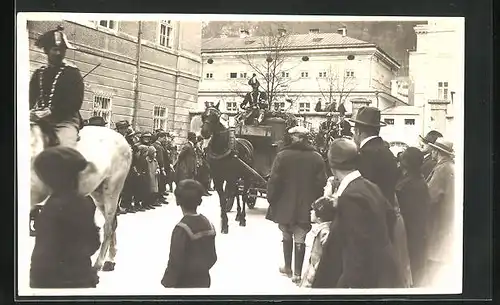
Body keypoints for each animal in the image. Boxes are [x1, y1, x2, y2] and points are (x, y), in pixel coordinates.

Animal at [30, 122, 132, 270]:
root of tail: (125, 142)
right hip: (98, 192)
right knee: (113, 223)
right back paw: (110, 260)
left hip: (112, 189)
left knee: (108, 226)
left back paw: (99, 263)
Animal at [199, 102, 264, 233]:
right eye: (203, 116)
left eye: (216, 116)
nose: (205, 132)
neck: (221, 148)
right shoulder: (217, 178)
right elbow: (223, 199)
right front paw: (224, 222)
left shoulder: (230, 176)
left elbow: (232, 195)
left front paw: (226, 222)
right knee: (237, 193)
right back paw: (238, 215)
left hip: (246, 177)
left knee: (243, 195)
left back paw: (242, 218)